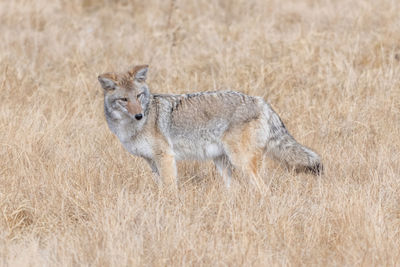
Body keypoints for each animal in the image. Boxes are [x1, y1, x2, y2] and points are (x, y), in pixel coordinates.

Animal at [97, 65, 322, 188]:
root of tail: (261, 101)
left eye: (138, 96)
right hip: (222, 163)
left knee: (264, 190)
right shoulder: (152, 162)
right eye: (124, 99)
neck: (131, 129)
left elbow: (170, 189)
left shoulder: (166, 158)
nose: (139, 115)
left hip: (240, 162)